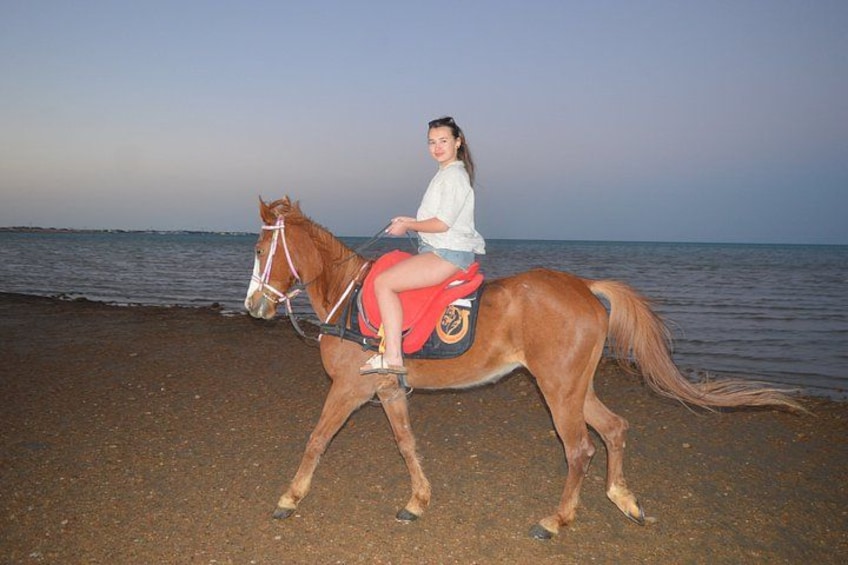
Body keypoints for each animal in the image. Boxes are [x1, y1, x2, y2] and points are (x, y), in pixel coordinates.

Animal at [244, 196, 800, 540]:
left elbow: (317, 439)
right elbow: (406, 444)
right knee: (614, 429)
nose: (253, 306)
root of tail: (584, 288)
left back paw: (555, 521)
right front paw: (417, 501)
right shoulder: (386, 390)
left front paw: (290, 497)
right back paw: (623, 498)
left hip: (558, 389)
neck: (349, 297)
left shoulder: (348, 389)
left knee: (580, 449)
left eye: (259, 248)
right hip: (574, 387)